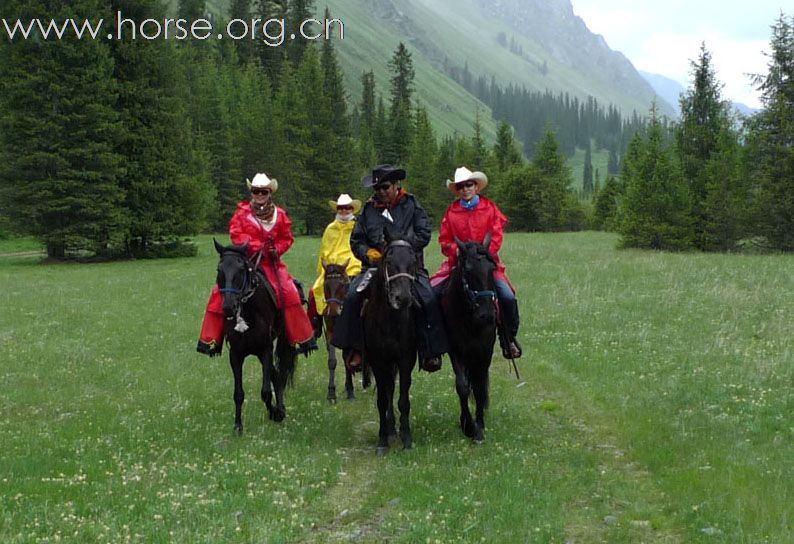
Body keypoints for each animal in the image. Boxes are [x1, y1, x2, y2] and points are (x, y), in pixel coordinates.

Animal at [212, 240, 296, 436]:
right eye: (219, 270)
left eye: (241, 269)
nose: (228, 306)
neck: (248, 312)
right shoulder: (235, 355)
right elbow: (238, 394)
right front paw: (238, 426)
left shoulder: (265, 349)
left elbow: (265, 391)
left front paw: (275, 413)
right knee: (276, 374)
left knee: (276, 376)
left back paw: (280, 409)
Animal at [320, 262, 370, 402]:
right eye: (325, 285)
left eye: (342, 284)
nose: (332, 311)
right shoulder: (331, 333)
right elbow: (332, 361)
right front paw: (331, 393)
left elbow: (346, 357)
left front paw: (350, 391)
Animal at [360, 236, 418, 452]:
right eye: (389, 262)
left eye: (413, 262)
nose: (403, 298)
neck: (390, 321)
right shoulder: (378, 360)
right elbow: (383, 400)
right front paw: (383, 441)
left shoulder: (406, 359)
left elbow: (403, 399)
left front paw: (407, 438)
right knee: (388, 389)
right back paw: (391, 430)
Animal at [440, 234, 496, 442]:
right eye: (469, 270)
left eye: (492, 268)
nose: (487, 315)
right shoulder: (456, 351)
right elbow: (462, 386)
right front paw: (469, 426)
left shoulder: (485, 351)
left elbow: (479, 387)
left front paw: (479, 428)